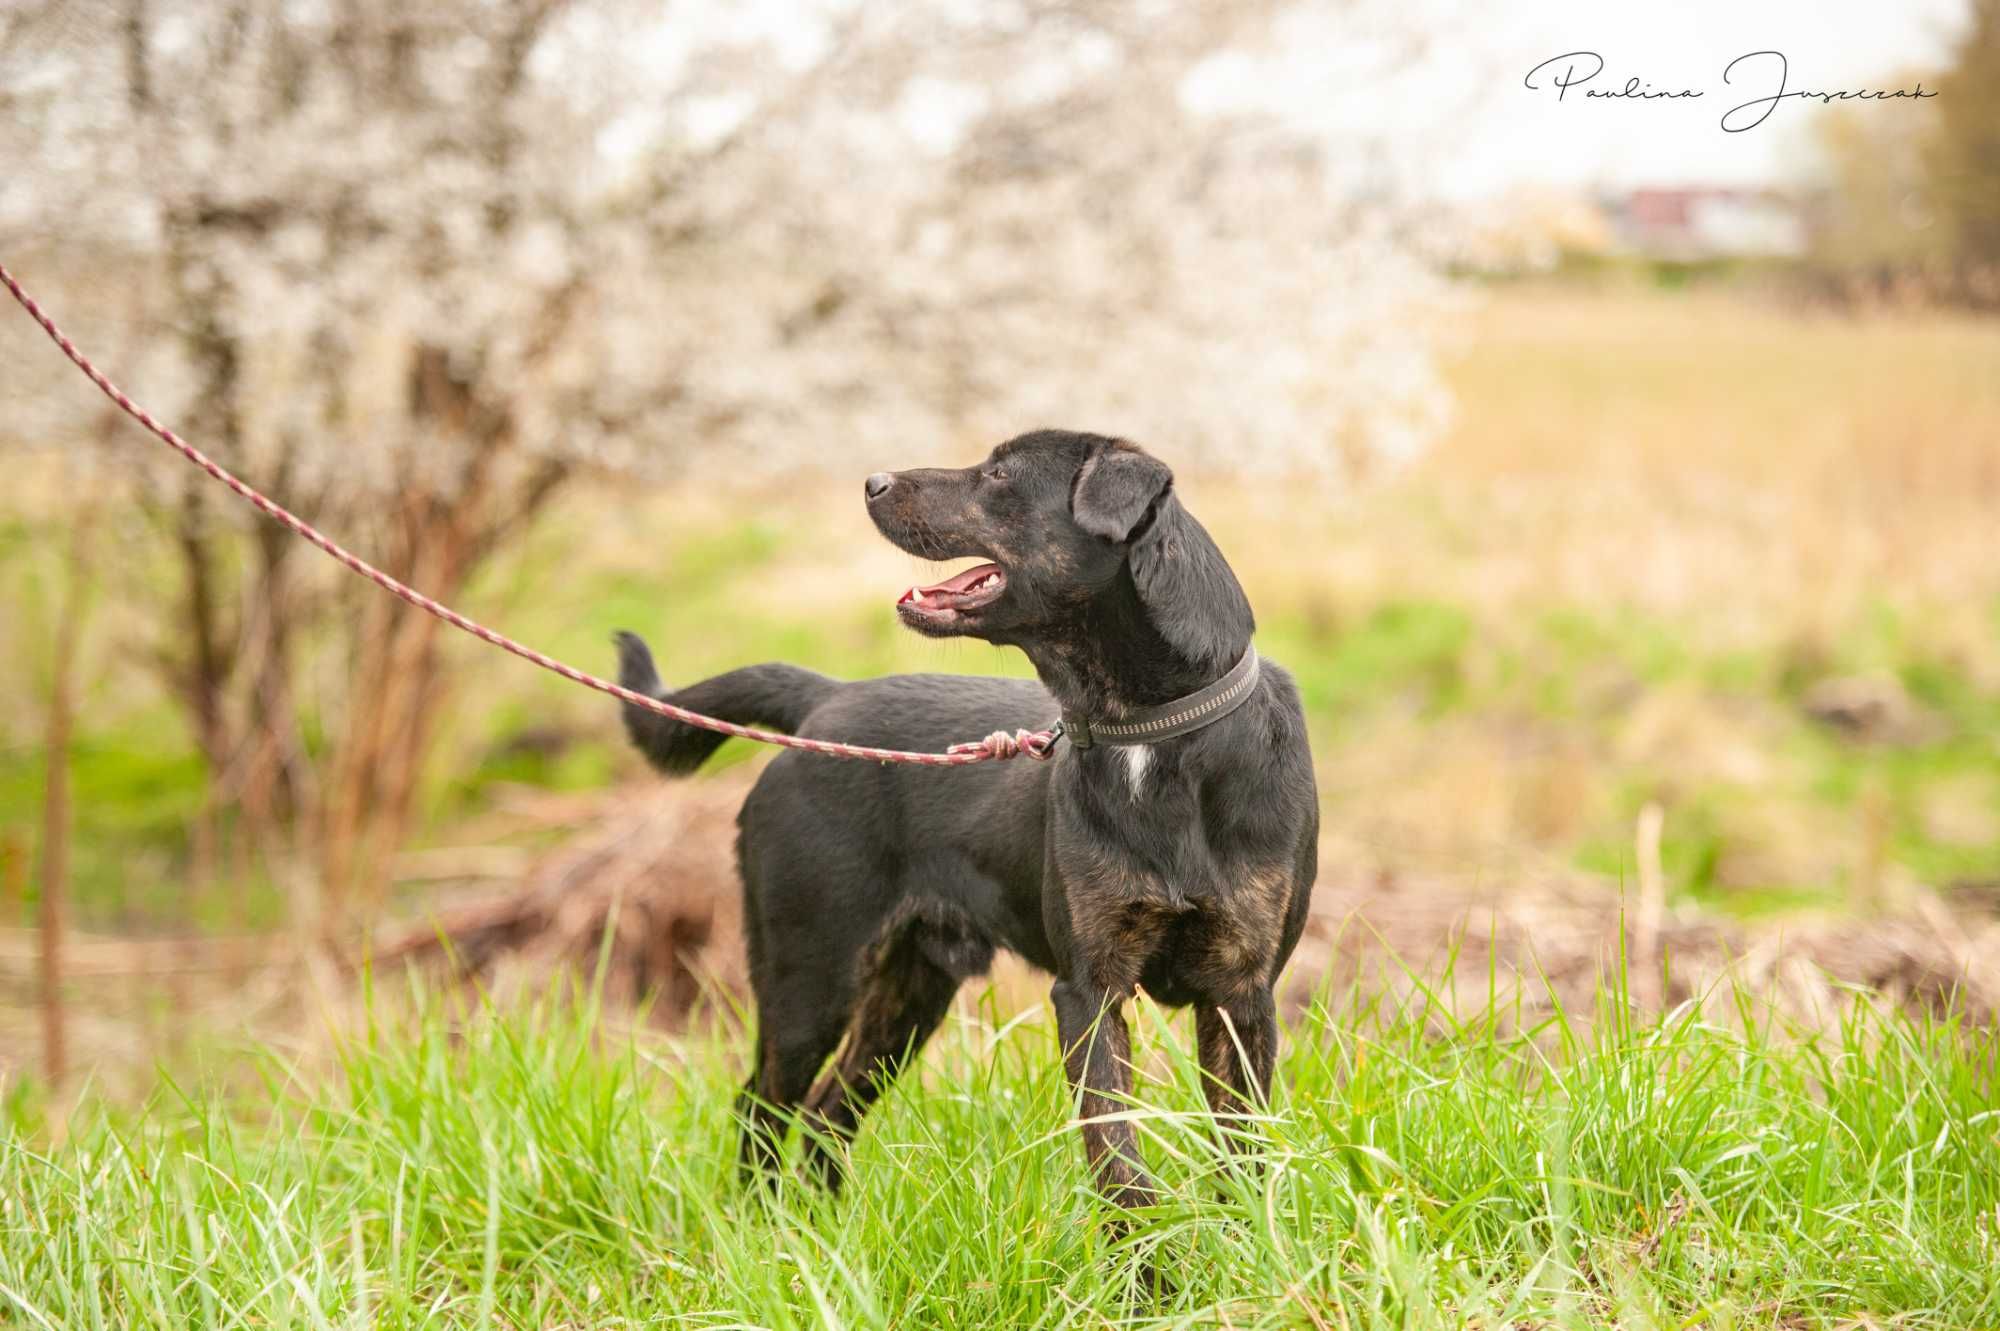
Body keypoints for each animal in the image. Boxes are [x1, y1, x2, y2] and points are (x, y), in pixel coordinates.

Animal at [616, 427, 1320, 1199]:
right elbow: (1117, 1156)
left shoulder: (1241, 993)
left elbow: (1241, 1154)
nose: (873, 481)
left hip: (907, 991)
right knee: (763, 1106)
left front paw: (1238, 1228)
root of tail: (825, 699)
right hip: (810, 968)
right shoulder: (1090, 990)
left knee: (827, 1112)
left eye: (1001, 475)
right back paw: (764, 1224)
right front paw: (1141, 1239)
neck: (1152, 733)